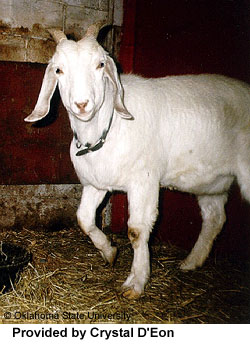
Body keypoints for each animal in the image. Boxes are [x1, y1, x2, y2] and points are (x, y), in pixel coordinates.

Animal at [24, 23, 250, 300]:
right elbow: (84, 219)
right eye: (58, 69)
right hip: (211, 182)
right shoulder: (96, 183)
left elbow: (136, 230)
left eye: (100, 64)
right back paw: (191, 262)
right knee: (215, 217)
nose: (82, 104)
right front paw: (109, 251)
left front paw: (136, 282)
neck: (109, 126)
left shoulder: (144, 181)